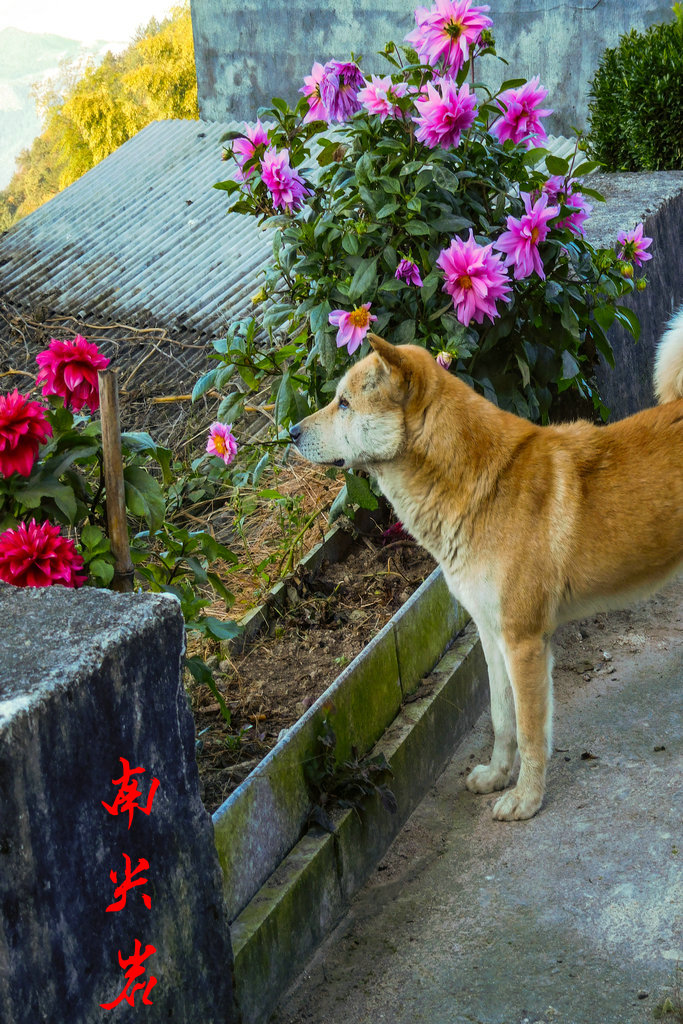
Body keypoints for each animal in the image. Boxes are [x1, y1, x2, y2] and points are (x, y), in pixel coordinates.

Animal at [290, 307, 683, 819]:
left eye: (344, 404)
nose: (291, 433)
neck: (481, 483)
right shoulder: (492, 638)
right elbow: (502, 719)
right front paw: (498, 775)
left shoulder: (524, 643)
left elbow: (532, 733)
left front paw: (526, 799)